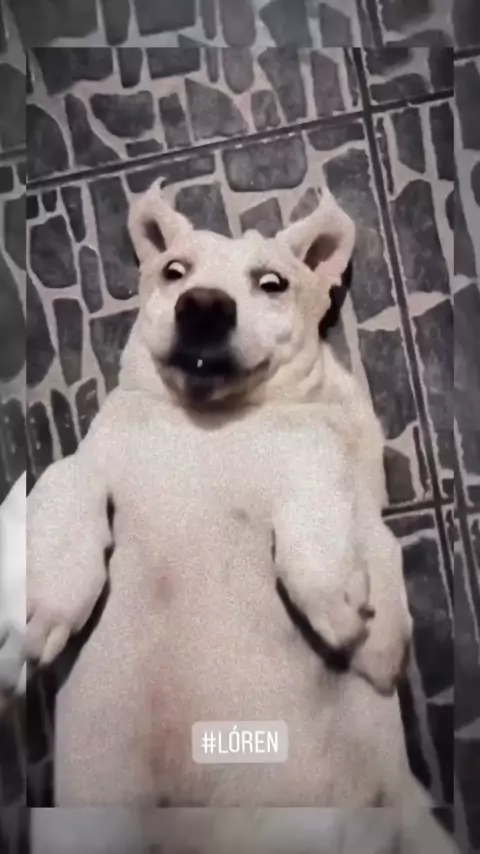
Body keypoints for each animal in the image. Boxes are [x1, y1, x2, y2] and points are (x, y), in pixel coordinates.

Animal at [27, 182, 457, 852]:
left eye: (273, 283)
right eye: (174, 271)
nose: (202, 306)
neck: (212, 424)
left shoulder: (342, 477)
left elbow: (319, 479)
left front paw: (336, 597)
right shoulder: (92, 459)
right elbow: (61, 476)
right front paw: (47, 605)